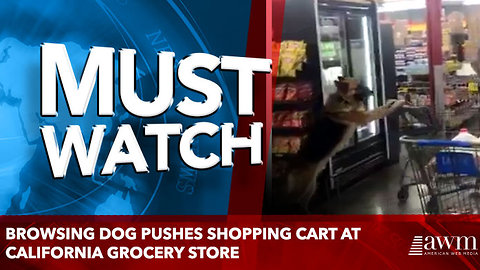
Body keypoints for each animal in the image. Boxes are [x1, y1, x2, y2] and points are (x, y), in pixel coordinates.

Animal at [284, 77, 404, 210]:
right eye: (358, 87)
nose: (372, 91)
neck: (344, 100)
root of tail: (290, 166)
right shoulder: (365, 116)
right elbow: (381, 110)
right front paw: (398, 103)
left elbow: (383, 106)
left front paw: (392, 101)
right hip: (302, 188)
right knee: (291, 202)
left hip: (311, 187)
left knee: (302, 202)